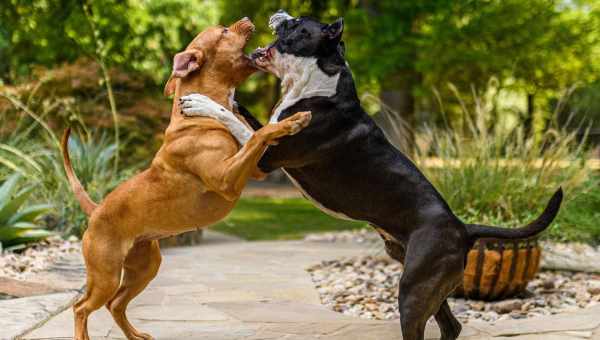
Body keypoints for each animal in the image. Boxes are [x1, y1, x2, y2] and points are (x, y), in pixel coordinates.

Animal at [63, 18, 312, 340]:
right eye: (224, 31)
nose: (245, 20)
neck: (194, 119)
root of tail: (95, 210)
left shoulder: (255, 168)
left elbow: (256, 133)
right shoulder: (227, 180)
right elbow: (260, 133)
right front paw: (292, 121)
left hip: (146, 266)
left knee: (115, 304)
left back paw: (136, 335)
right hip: (105, 275)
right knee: (82, 307)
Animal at [179, 10, 564, 340]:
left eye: (299, 23)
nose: (279, 13)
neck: (316, 84)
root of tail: (463, 228)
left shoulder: (266, 159)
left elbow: (241, 125)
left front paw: (201, 102)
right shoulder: (270, 132)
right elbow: (245, 114)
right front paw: (224, 96)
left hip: (413, 289)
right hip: (423, 280)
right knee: (451, 326)